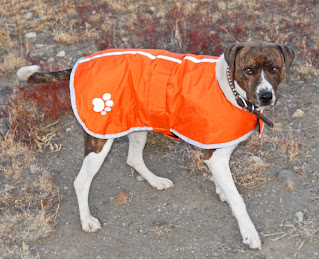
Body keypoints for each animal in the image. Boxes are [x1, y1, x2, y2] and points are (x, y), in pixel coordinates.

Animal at [15, 42, 296, 250]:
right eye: (248, 70)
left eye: (274, 68)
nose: (266, 96)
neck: (231, 89)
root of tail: (79, 62)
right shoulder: (216, 157)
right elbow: (239, 201)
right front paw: (249, 233)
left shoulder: (217, 152)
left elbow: (223, 183)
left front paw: (222, 191)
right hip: (100, 137)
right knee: (81, 181)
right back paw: (87, 221)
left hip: (137, 124)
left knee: (133, 158)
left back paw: (156, 181)